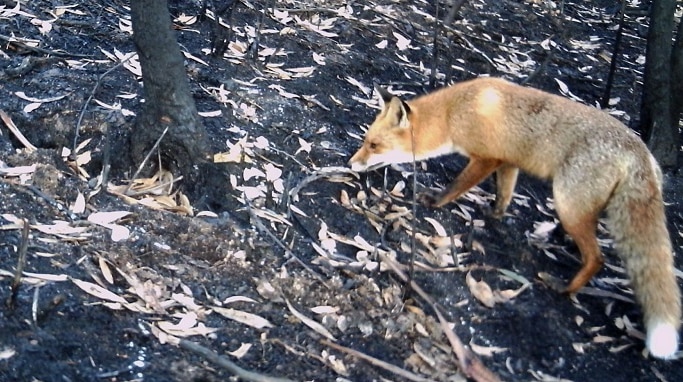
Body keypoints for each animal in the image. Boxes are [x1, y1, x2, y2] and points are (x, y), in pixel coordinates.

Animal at [350, 77, 680, 358]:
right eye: (365, 140)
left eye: (373, 145)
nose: (351, 164)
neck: (453, 113)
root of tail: (642, 153)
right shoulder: (508, 162)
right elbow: (504, 195)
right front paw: (495, 214)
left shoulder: (486, 158)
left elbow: (456, 186)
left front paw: (436, 200)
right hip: (580, 205)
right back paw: (557, 238)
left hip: (567, 201)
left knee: (597, 257)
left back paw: (565, 287)